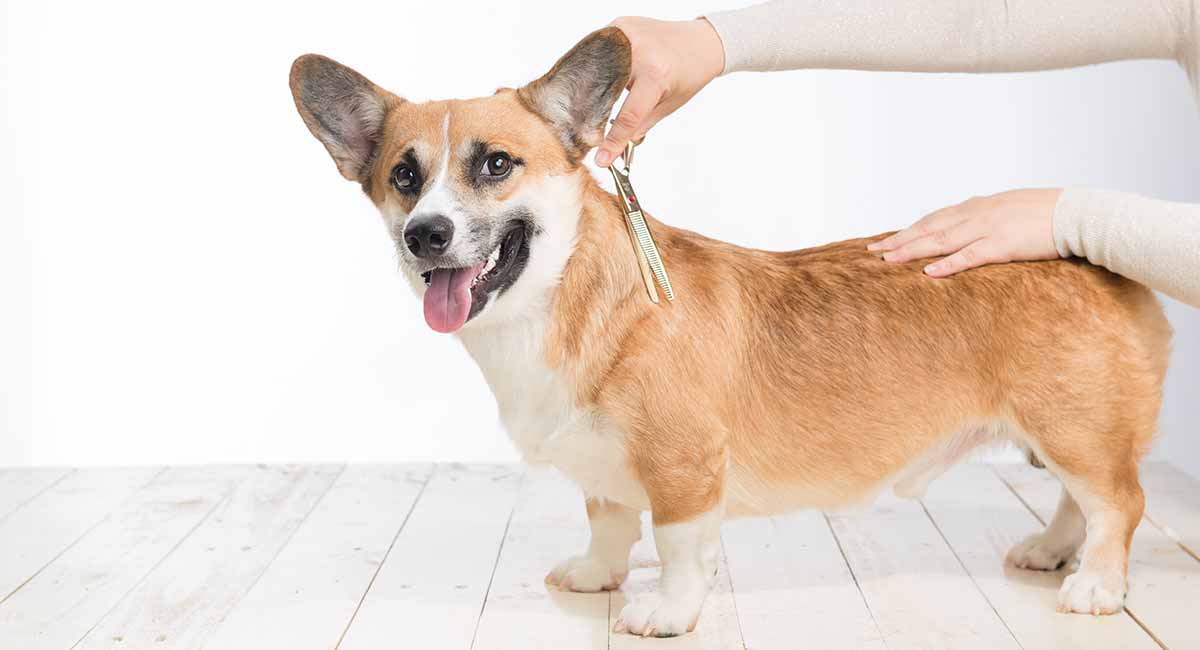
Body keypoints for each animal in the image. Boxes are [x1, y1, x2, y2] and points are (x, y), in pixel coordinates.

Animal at [288, 28, 1171, 638]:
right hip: (1059, 434)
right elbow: (610, 522)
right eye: (403, 176)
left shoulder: (683, 468)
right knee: (1078, 502)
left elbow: (679, 548)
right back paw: (1049, 552)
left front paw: (666, 613)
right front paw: (596, 576)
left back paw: (1095, 587)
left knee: (1118, 503)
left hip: (1073, 428)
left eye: (496, 165)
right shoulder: (605, 472)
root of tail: (1091, 257)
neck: (562, 299)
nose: (425, 235)